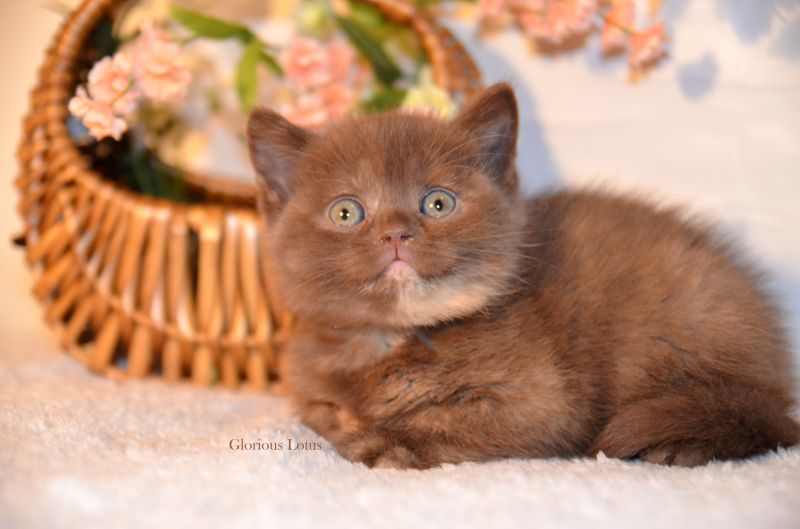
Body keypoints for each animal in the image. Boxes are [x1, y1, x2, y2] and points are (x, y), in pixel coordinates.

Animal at [247, 83, 799, 469]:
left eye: (438, 203)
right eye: (346, 212)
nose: (396, 233)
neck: (392, 338)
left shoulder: (544, 402)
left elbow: (454, 419)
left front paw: (387, 441)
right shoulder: (309, 391)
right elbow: (326, 413)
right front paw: (351, 420)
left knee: (754, 415)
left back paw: (679, 444)